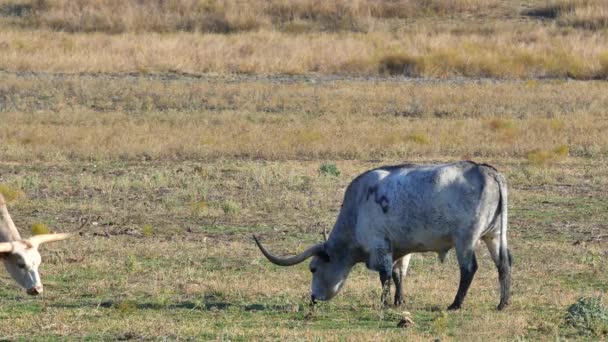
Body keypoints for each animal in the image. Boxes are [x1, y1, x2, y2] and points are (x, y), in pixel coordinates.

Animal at [254, 161, 510, 310]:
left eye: (313, 269)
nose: (313, 298)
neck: (357, 207)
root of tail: (486, 170)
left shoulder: (380, 246)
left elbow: (385, 276)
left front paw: (384, 303)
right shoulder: (401, 249)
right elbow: (399, 275)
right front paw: (399, 301)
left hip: (465, 239)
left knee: (469, 269)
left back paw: (456, 304)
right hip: (495, 235)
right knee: (504, 264)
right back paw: (503, 303)